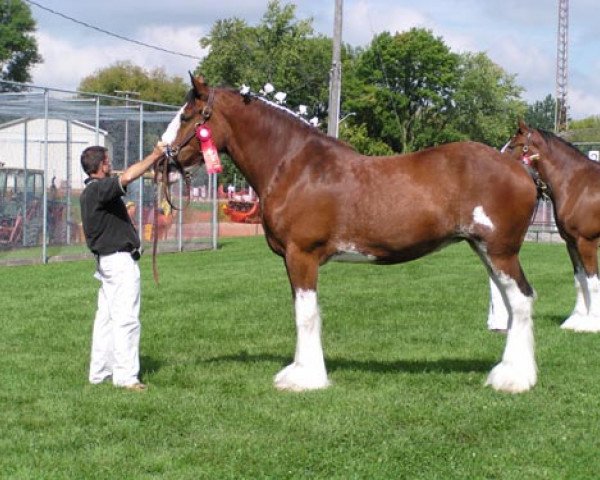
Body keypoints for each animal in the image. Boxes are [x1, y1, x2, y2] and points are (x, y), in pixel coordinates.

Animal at [163, 77, 540, 394]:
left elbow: (306, 314)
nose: (164, 159)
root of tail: (522, 171)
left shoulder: (301, 255)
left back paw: (513, 378)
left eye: (188, 116)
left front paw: (306, 378)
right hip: (485, 250)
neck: (295, 166)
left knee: (521, 301)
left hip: (500, 251)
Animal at [500, 119, 600, 334]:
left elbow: (593, 282)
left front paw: (593, 323)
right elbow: (580, 280)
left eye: (512, 145)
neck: (579, 185)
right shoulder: (572, 243)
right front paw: (575, 320)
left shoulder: (587, 243)